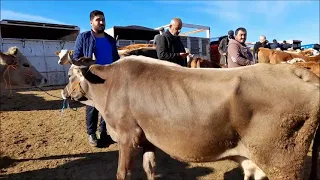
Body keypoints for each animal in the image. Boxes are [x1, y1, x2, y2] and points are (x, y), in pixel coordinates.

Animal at [61, 56, 318, 180]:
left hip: (282, 161)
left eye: (70, 75)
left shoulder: (127, 136)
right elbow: (150, 168)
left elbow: (123, 173)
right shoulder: (147, 138)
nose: (64, 92)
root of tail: (295, 70)